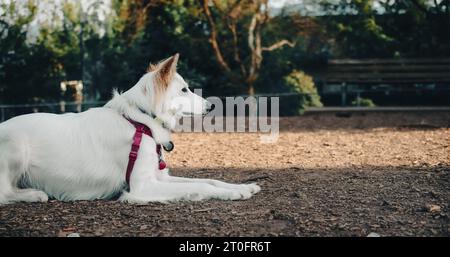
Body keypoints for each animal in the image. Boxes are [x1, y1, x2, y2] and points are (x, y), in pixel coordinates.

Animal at [0, 54, 260, 204]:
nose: (211, 105)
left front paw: (242, 187)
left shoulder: (159, 176)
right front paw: (234, 193)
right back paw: (34, 194)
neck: (141, 121)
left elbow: (210, 181)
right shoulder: (143, 186)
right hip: (16, 147)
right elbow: (203, 184)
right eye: (184, 90)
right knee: (4, 193)